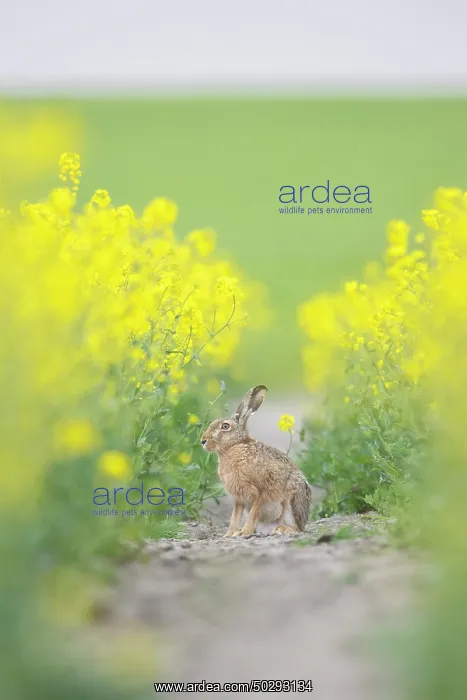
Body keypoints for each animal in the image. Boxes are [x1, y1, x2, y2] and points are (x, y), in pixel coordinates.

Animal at [201, 385, 312, 537]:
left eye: (225, 426)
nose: (203, 441)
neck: (235, 446)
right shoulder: (239, 498)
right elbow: (234, 517)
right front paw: (230, 534)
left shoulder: (260, 492)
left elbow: (253, 513)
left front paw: (244, 532)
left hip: (292, 502)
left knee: (298, 527)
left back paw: (282, 529)